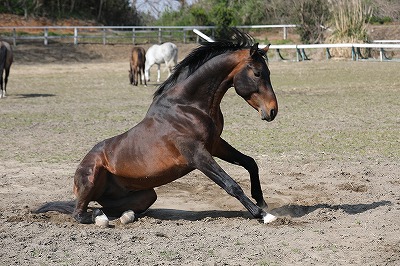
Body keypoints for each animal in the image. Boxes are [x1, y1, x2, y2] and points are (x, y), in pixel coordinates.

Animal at [34, 29, 278, 224]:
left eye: (268, 73)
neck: (187, 106)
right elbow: (231, 184)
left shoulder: (215, 143)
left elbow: (250, 162)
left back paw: (125, 216)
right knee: (80, 213)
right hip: (92, 176)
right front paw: (264, 215)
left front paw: (262, 201)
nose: (272, 111)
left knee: (106, 209)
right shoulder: (197, 155)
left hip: (147, 194)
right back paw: (100, 219)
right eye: (257, 73)